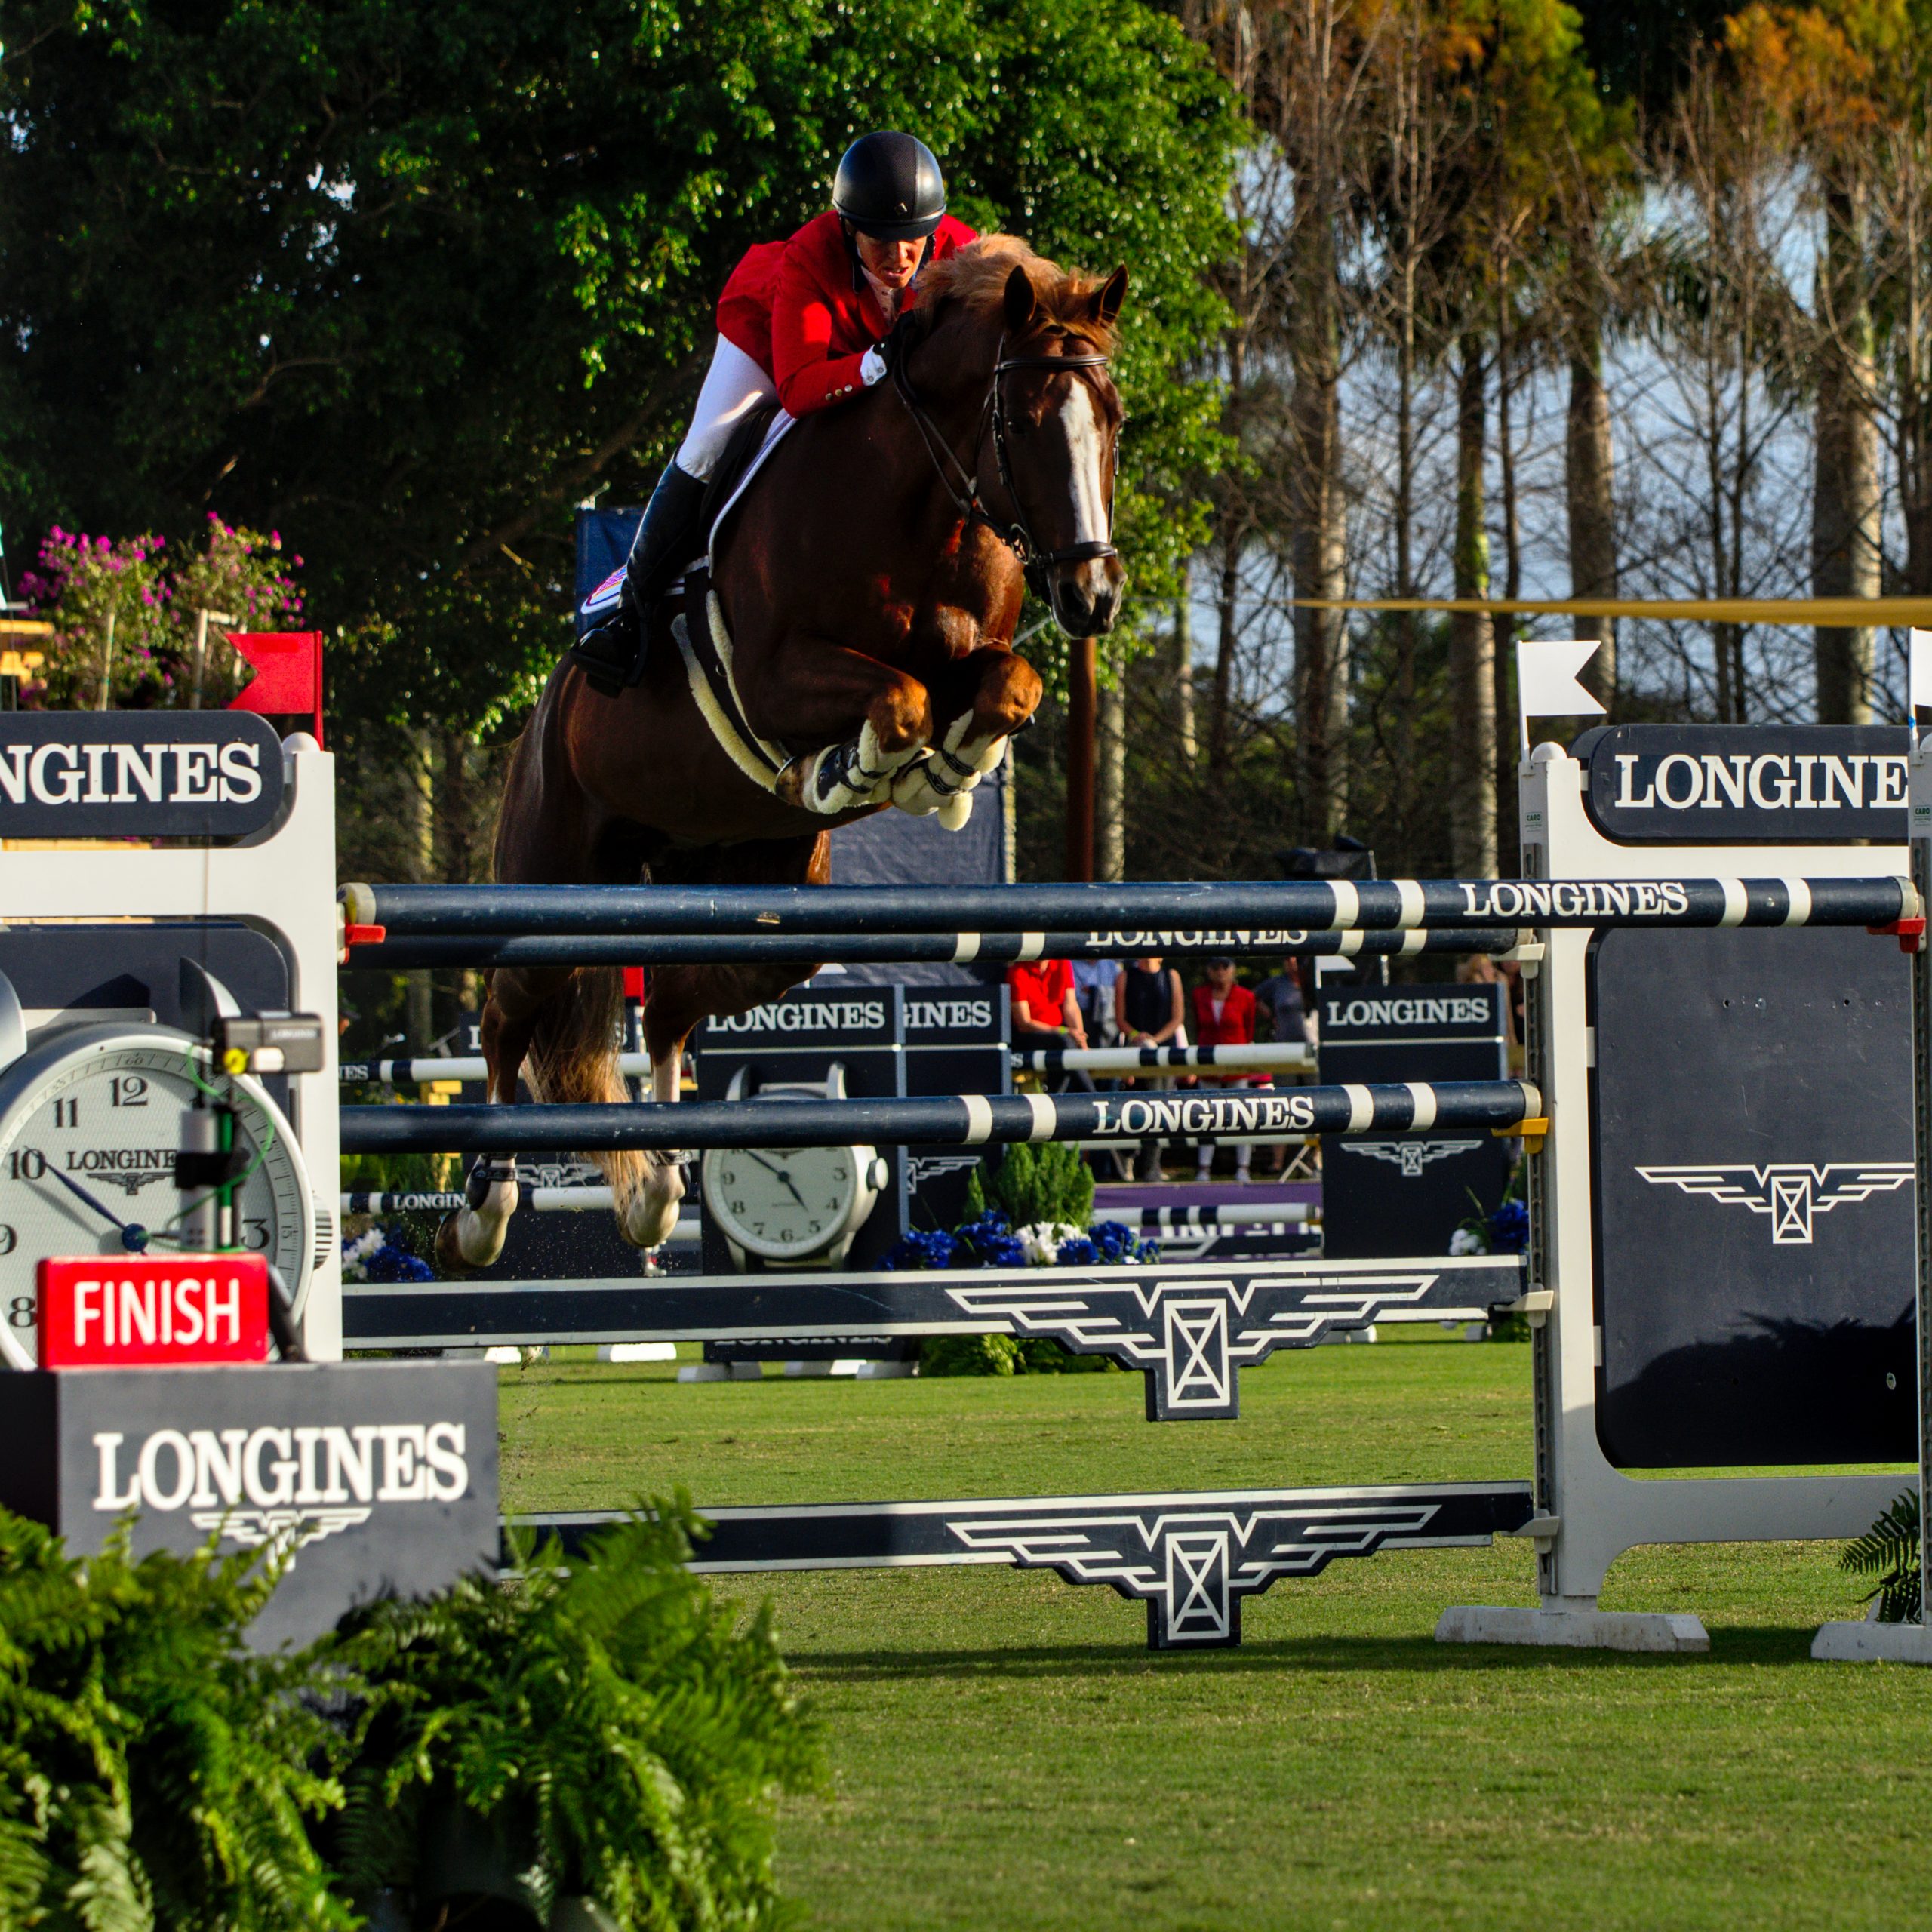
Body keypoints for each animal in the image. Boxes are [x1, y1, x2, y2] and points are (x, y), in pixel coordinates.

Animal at [438, 233, 1128, 1275]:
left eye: (1113, 420)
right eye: (1025, 420)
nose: (1094, 596)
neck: (926, 506)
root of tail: (545, 710)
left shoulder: (981, 656)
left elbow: (1005, 685)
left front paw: (947, 772)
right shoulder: (773, 678)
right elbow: (900, 698)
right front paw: (859, 767)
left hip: (758, 906)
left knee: (673, 1008)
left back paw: (658, 1190)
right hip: (550, 876)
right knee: (507, 1016)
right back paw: (485, 1209)